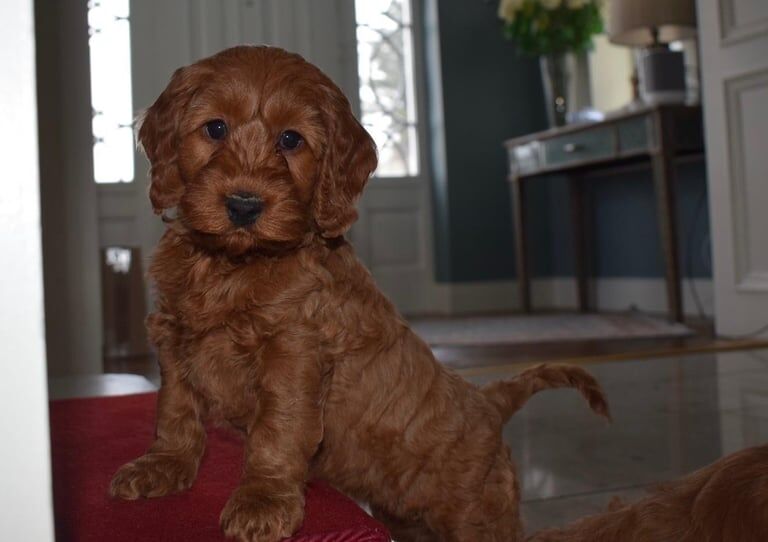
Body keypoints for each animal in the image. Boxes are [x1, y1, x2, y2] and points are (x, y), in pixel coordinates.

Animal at [109, 46, 612, 542]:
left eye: (291, 140)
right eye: (215, 128)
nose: (244, 205)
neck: (233, 265)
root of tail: (489, 401)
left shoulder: (294, 353)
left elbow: (277, 429)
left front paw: (263, 501)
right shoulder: (175, 337)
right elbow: (175, 409)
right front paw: (164, 466)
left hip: (477, 518)